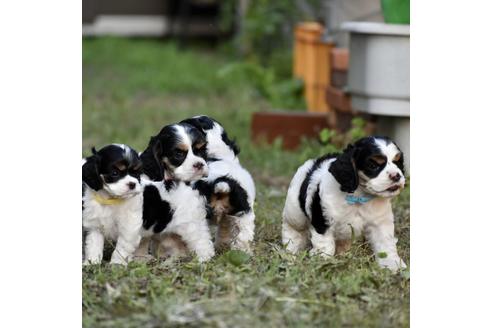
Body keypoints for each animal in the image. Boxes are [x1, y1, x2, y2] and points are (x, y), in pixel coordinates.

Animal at [182, 115, 258, 254]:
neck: (219, 155)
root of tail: (220, 181)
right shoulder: (228, 217)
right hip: (244, 214)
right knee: (243, 236)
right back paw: (241, 253)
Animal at [282, 136, 406, 272]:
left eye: (398, 162)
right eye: (372, 165)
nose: (396, 175)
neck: (358, 197)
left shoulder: (380, 223)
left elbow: (385, 244)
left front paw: (392, 264)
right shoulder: (322, 222)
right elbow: (325, 245)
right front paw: (322, 262)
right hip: (294, 213)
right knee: (291, 227)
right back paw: (291, 249)